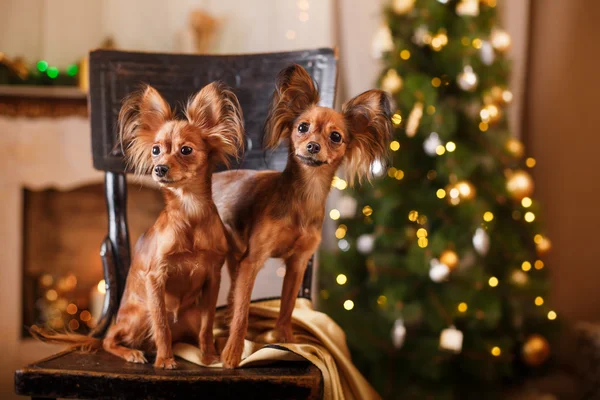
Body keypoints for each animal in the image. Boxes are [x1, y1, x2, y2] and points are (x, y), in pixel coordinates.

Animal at [32, 82, 244, 368]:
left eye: (186, 150)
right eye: (155, 150)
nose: (160, 169)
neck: (190, 212)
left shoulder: (212, 279)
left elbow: (207, 325)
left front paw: (210, 356)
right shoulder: (156, 277)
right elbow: (162, 324)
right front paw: (165, 360)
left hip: (187, 316)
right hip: (139, 315)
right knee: (110, 338)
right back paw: (132, 352)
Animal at [213, 64, 392, 368]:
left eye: (335, 137)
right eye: (302, 127)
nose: (312, 146)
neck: (304, 196)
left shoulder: (297, 264)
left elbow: (286, 308)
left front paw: (286, 341)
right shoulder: (254, 260)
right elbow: (243, 312)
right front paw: (233, 352)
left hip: (235, 257)